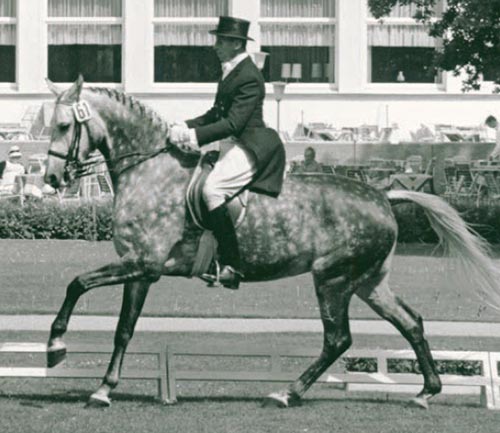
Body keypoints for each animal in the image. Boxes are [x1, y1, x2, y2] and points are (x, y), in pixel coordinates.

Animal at [44, 76, 500, 410]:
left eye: (64, 126)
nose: (51, 179)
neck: (151, 171)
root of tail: (384, 196)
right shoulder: (140, 270)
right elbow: (123, 329)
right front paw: (103, 389)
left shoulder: (142, 264)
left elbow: (76, 283)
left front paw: (56, 346)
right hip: (369, 283)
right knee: (411, 322)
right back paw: (425, 392)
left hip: (333, 279)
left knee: (338, 339)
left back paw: (287, 393)